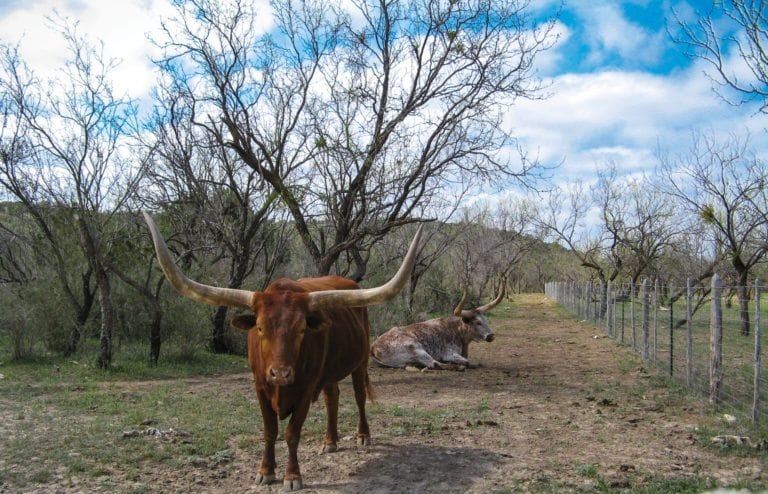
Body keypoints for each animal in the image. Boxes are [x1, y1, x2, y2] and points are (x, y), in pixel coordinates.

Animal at [141, 214, 424, 492]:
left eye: (301, 329)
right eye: (259, 327)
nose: (280, 373)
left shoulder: (306, 388)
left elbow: (291, 433)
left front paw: (292, 476)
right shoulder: (260, 386)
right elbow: (270, 431)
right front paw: (265, 472)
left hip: (360, 362)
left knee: (358, 396)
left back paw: (363, 435)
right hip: (329, 370)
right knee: (332, 396)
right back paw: (330, 441)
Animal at [370, 286, 508, 370]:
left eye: (485, 320)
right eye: (478, 322)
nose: (491, 336)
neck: (457, 330)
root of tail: (373, 347)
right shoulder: (449, 354)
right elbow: (466, 361)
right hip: (417, 349)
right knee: (434, 364)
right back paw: (456, 367)